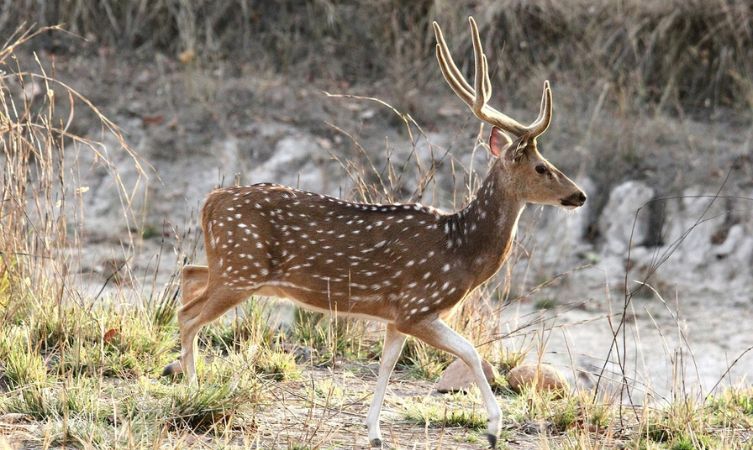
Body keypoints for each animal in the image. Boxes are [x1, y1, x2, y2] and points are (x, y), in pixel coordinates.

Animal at [162, 17, 586, 448]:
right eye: (542, 167)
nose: (579, 195)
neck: (461, 250)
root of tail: (210, 201)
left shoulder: (396, 316)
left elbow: (387, 364)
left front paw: (375, 432)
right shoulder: (418, 305)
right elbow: (469, 351)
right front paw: (494, 428)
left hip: (232, 265)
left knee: (190, 274)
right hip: (241, 269)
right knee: (188, 315)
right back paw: (194, 391)